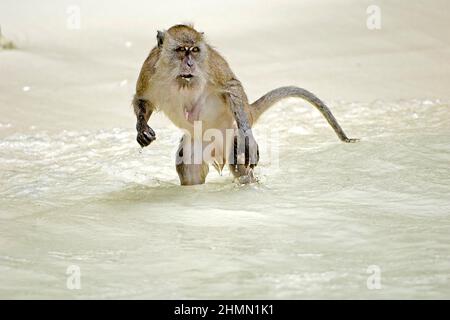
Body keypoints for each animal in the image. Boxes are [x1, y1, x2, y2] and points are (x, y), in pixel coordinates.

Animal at [131, 24, 358, 185]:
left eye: (194, 50)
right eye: (181, 50)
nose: (190, 64)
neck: (178, 78)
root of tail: (249, 111)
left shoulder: (209, 64)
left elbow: (232, 87)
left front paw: (248, 138)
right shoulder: (149, 69)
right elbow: (142, 100)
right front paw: (142, 129)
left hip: (233, 131)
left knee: (241, 165)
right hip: (199, 141)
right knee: (189, 167)